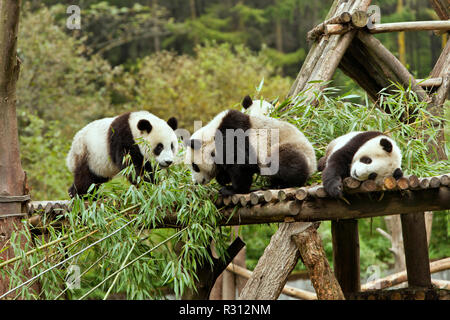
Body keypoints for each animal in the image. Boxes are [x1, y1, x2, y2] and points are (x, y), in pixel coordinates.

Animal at [186, 109, 316, 195]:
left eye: (195, 166)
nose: (196, 182)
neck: (211, 135)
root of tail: (313, 165)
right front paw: (223, 179)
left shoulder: (232, 135)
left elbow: (242, 164)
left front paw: (232, 189)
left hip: (285, 146)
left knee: (285, 163)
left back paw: (286, 183)